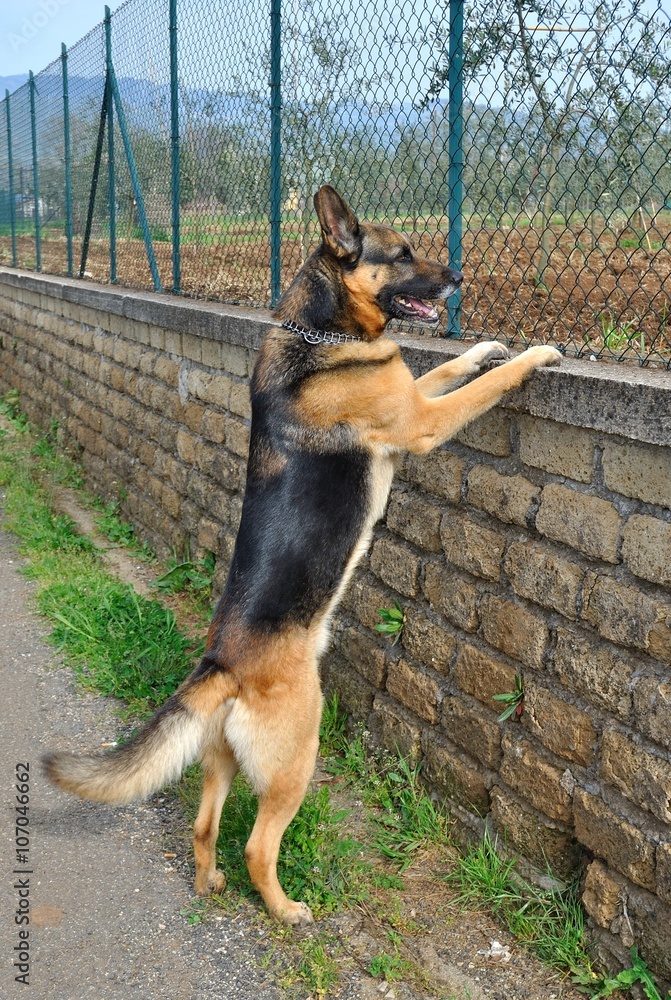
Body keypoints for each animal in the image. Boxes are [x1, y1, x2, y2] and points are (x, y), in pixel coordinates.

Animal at [43, 186, 560, 920]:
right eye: (402, 254)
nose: (459, 276)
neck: (322, 332)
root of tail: (222, 664)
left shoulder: (411, 394)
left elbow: (449, 365)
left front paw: (485, 342)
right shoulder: (422, 423)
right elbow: (480, 385)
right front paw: (535, 352)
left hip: (223, 760)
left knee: (203, 826)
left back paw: (209, 883)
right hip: (297, 757)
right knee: (259, 845)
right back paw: (286, 909)